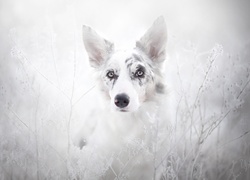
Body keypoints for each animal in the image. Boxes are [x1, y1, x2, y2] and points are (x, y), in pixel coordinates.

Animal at [73, 16, 173, 179]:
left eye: (139, 72)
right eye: (110, 74)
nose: (120, 100)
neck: (130, 125)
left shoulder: (149, 171)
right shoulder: (96, 165)